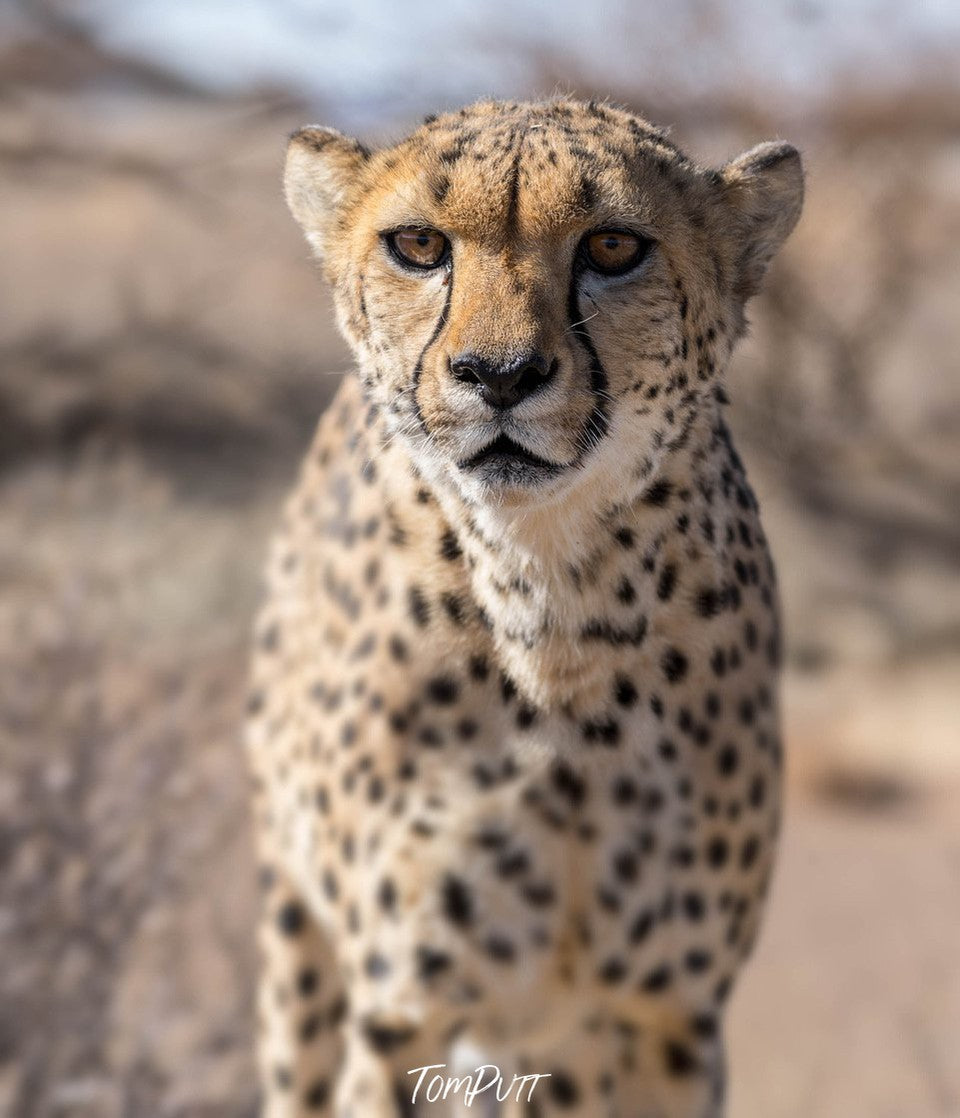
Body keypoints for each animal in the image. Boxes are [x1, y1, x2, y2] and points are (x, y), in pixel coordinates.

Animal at [248, 98, 804, 1118]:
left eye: (615, 246)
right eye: (419, 244)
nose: (500, 374)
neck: (552, 610)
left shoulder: (668, 1015)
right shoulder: (402, 1012)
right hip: (299, 938)